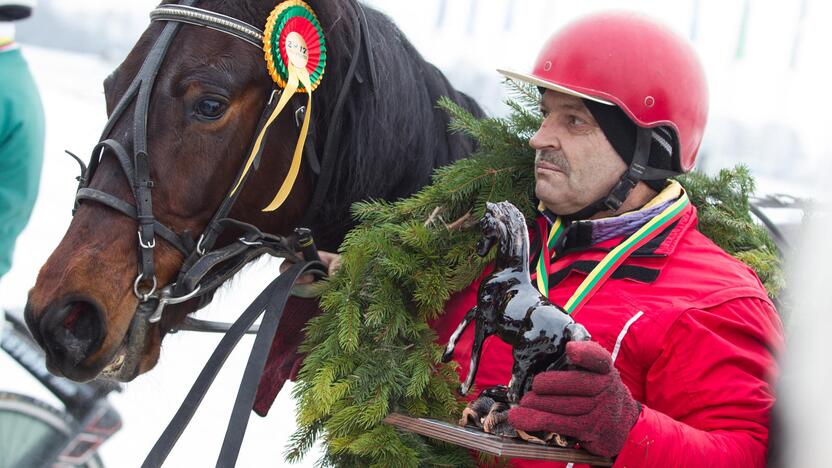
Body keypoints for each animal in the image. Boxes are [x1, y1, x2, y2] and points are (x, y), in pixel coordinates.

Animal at [442, 200, 584, 402]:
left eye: (484, 222)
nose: (478, 248)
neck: (510, 271)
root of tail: (568, 328)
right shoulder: (486, 317)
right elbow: (467, 316)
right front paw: (447, 353)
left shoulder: (485, 319)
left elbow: (475, 350)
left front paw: (463, 387)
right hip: (542, 367)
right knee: (525, 393)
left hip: (522, 356)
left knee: (515, 395)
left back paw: (490, 394)